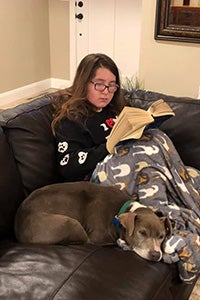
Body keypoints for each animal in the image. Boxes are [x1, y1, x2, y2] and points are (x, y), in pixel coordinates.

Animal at [14, 180, 171, 260]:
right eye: (141, 232)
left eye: (162, 236)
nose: (156, 255)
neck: (123, 208)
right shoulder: (97, 237)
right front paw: (122, 242)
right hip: (71, 223)